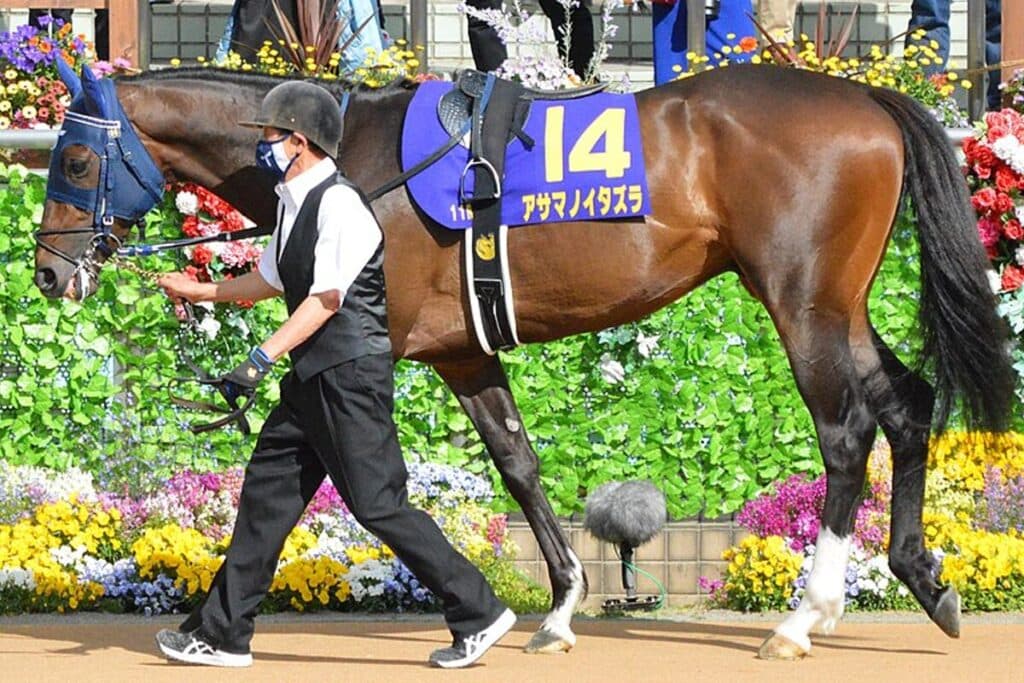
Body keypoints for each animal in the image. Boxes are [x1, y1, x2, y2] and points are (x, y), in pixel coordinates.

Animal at [33, 63, 1014, 660]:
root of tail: (868, 101)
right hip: (839, 304)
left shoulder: (375, 341)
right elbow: (518, 462)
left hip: (802, 300)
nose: (47, 271)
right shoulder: (464, 351)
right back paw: (924, 577)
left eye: (74, 157)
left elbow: (353, 470)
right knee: (908, 404)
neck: (356, 164)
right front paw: (562, 604)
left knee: (847, 433)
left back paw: (805, 615)